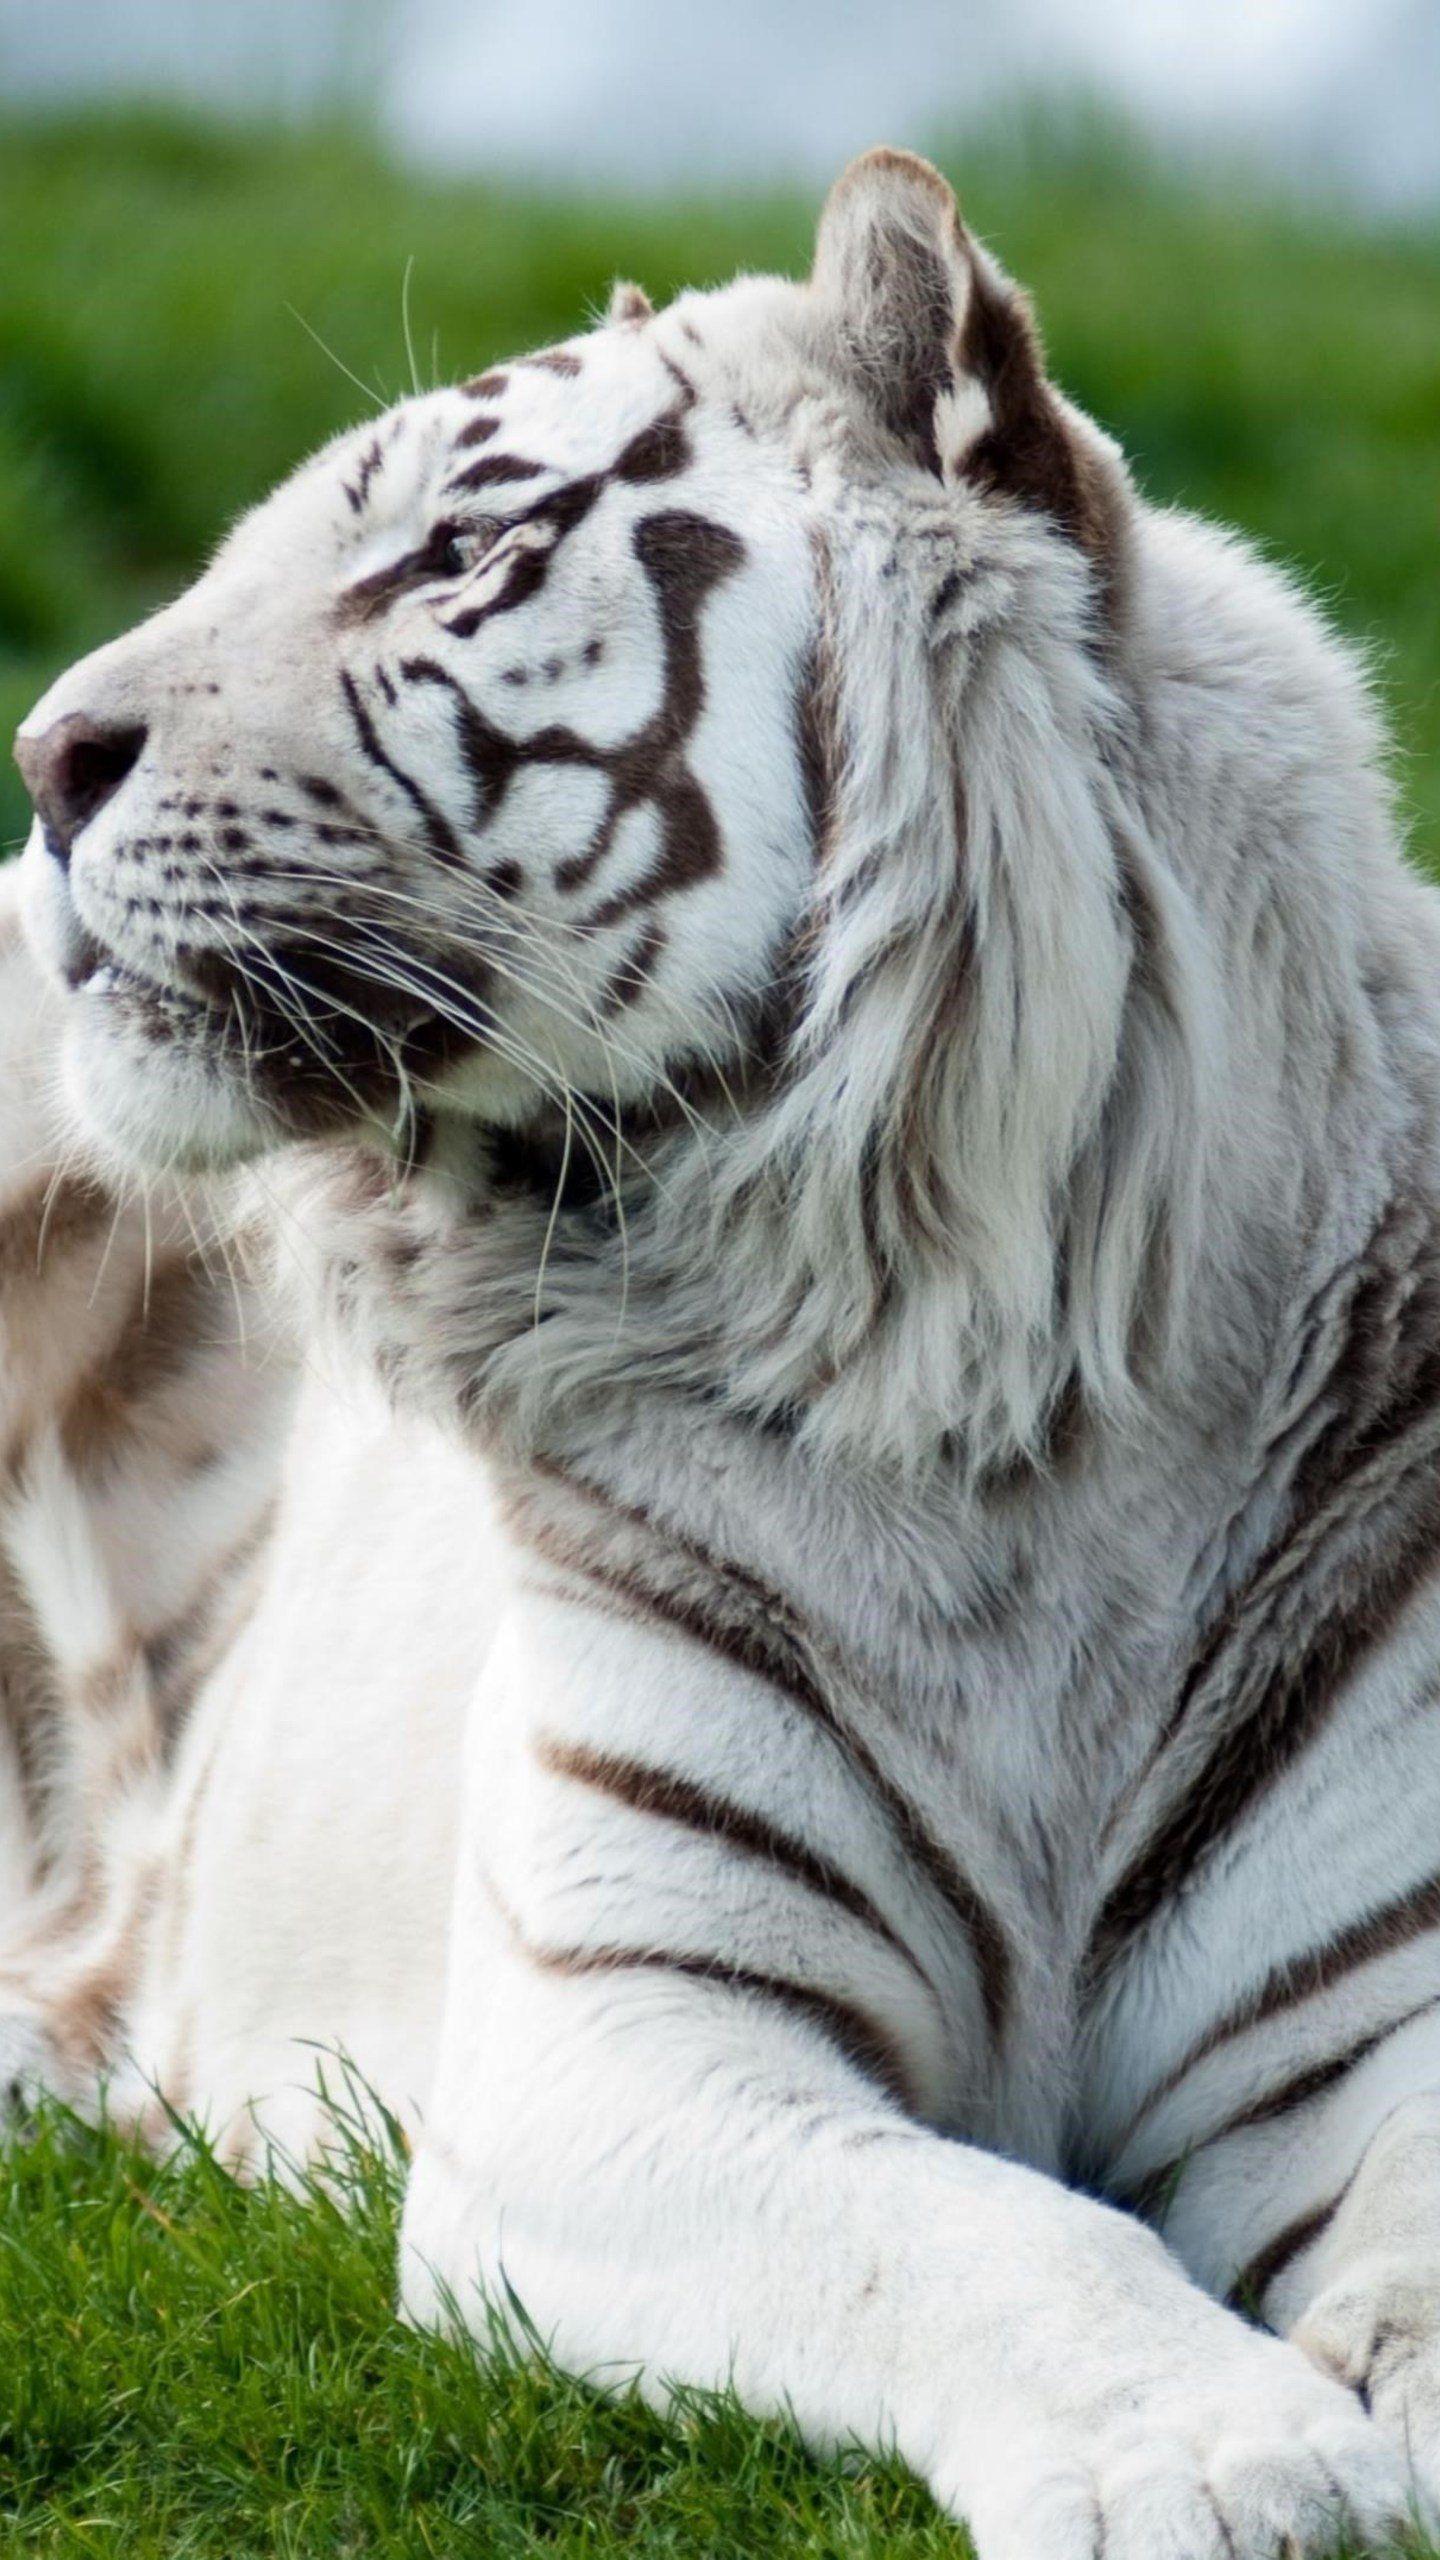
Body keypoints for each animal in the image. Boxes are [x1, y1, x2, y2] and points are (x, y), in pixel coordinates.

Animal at [8, 141, 1440, 2559]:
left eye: (454, 551)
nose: (42, 758)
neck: (983, 1406)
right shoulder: (620, 2041)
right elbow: (988, 2228)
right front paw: (1232, 2459)